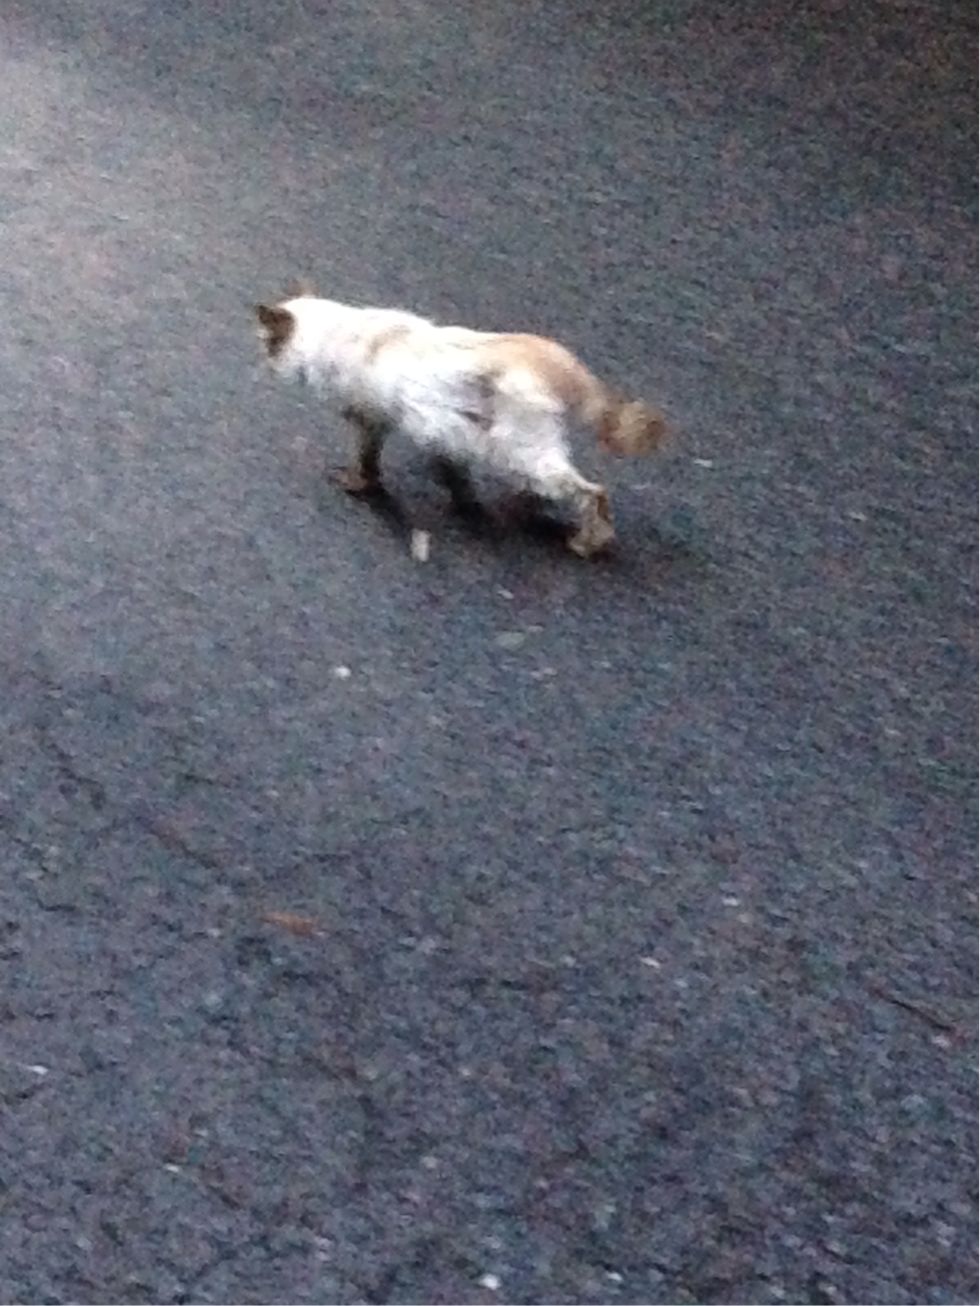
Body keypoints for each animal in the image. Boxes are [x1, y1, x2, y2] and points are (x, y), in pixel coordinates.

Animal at [254, 287, 669, 557]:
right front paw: (465, 501)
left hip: (517, 448)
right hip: (517, 445)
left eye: (267, 343)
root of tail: (554, 358)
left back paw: (586, 542)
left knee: (590, 492)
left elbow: (367, 463)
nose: (264, 363)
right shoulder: (447, 433)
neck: (335, 330)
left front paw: (358, 485)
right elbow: (455, 475)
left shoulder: (371, 418)